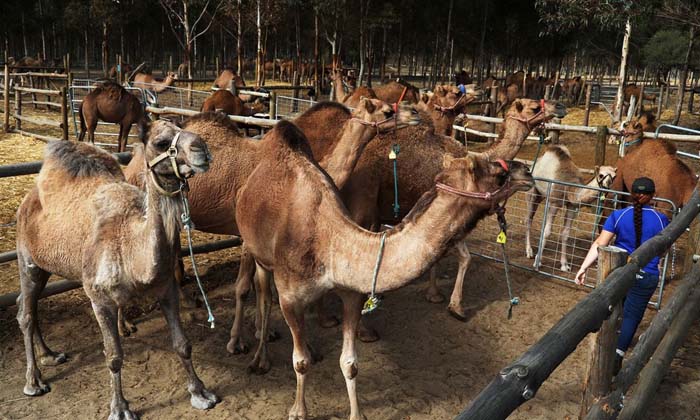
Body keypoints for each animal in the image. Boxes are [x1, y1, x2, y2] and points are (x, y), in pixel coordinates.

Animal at [15, 120, 219, 419]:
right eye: (160, 142)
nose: (201, 148)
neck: (133, 249)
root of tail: (27, 201)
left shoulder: (166, 287)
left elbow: (182, 343)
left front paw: (201, 392)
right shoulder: (100, 298)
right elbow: (113, 357)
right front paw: (120, 408)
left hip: (43, 266)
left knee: (29, 304)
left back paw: (50, 355)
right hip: (26, 260)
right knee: (26, 314)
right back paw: (34, 381)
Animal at [234, 121, 534, 420]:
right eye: (499, 174)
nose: (527, 172)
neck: (329, 244)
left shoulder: (352, 293)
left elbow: (350, 363)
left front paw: (357, 414)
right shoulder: (290, 297)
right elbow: (299, 362)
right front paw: (298, 410)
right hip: (259, 254)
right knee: (264, 296)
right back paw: (260, 357)